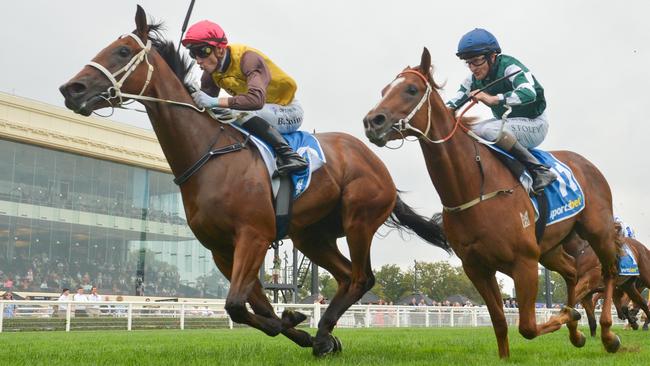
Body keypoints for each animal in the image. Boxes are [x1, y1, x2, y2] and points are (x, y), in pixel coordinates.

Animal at [58, 7, 448, 358]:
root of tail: (375, 161)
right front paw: (297, 325)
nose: (71, 88)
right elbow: (253, 307)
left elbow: (236, 305)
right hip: (312, 236)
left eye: (122, 51)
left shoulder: (254, 235)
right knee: (345, 276)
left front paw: (297, 321)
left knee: (362, 277)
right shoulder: (221, 250)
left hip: (358, 218)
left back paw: (324, 331)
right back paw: (324, 336)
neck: (209, 154)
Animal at [362, 46, 620, 358]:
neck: (474, 187)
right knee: (571, 272)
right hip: (550, 248)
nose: (372, 121)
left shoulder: (524, 262)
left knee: (609, 272)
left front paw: (568, 315)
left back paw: (607, 334)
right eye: (384, 90)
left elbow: (528, 326)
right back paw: (577, 332)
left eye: (411, 89)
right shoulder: (477, 267)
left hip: (597, 231)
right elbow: (499, 321)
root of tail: (587, 164)